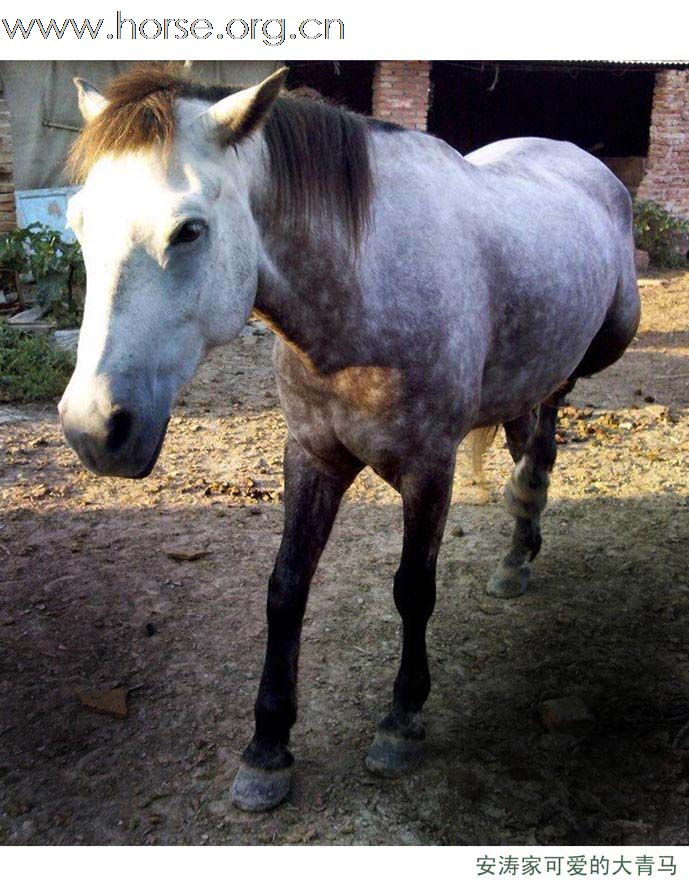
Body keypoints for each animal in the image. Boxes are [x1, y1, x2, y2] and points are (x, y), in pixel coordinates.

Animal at [59, 64, 640, 808]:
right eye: (78, 223)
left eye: (188, 231)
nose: (93, 429)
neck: (360, 287)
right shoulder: (313, 456)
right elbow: (285, 589)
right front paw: (267, 749)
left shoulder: (429, 468)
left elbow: (412, 589)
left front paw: (400, 720)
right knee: (525, 437)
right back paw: (517, 554)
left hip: (591, 350)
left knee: (544, 433)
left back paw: (524, 515)